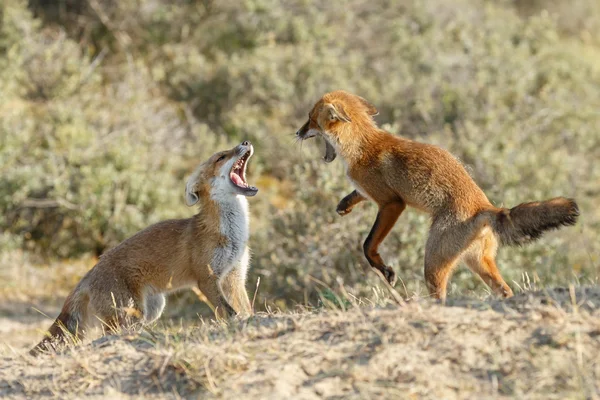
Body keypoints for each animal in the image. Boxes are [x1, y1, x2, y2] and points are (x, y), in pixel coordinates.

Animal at [31, 142, 258, 354]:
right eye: (221, 157)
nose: (245, 142)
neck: (231, 234)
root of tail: (88, 274)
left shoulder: (234, 276)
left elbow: (246, 309)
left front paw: (251, 320)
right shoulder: (206, 278)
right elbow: (229, 312)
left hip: (153, 309)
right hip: (130, 313)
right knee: (109, 335)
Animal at [298, 90, 580, 302]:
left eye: (310, 119)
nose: (297, 133)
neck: (362, 146)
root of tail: (485, 209)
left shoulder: (392, 203)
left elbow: (368, 245)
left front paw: (384, 270)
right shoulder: (371, 193)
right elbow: (357, 195)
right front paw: (344, 205)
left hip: (432, 262)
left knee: (440, 293)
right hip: (478, 263)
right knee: (504, 290)